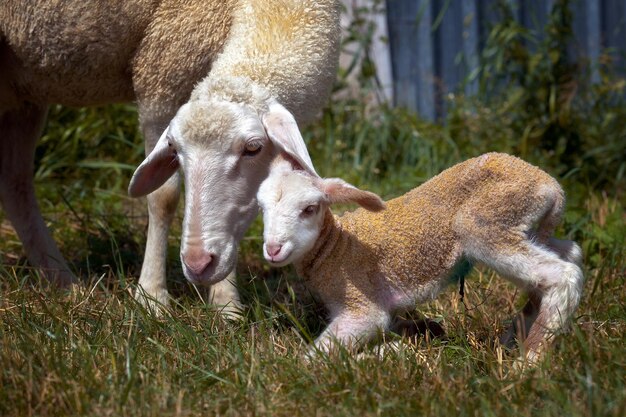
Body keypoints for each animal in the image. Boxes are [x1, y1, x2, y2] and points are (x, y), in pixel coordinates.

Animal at [0, 0, 338, 312]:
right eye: (173, 148)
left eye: (253, 147)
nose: (198, 264)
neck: (279, 12)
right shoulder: (162, 72)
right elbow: (163, 196)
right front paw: (152, 297)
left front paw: (226, 305)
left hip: (22, 92)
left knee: (15, 185)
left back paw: (64, 283)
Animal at [255, 152, 584, 364]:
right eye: (262, 209)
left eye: (309, 209)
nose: (273, 249)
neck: (335, 246)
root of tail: (551, 186)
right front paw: (416, 339)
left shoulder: (361, 303)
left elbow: (311, 360)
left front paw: (383, 354)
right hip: (524, 226)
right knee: (570, 253)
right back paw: (512, 338)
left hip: (488, 220)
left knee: (563, 274)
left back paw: (527, 362)